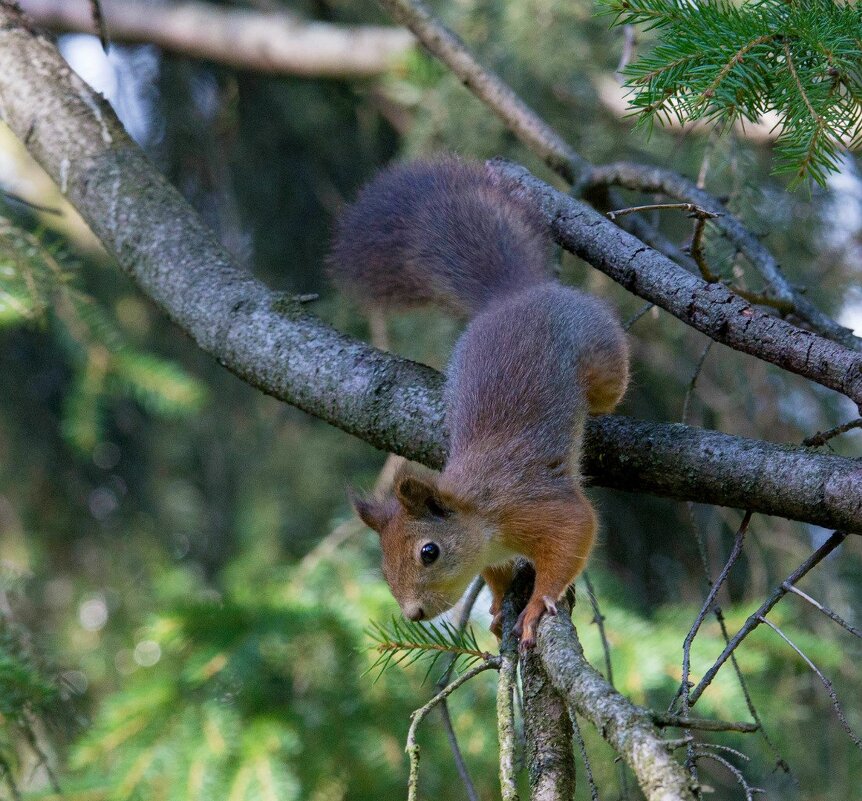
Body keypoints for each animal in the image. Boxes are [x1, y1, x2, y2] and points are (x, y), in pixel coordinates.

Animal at [328, 156, 632, 648]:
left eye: (428, 552)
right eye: (383, 566)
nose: (414, 614)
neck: (479, 510)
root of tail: (513, 295)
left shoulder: (533, 503)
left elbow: (575, 531)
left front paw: (535, 606)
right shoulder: (492, 551)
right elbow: (496, 575)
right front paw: (497, 604)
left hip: (601, 356)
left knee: (609, 390)